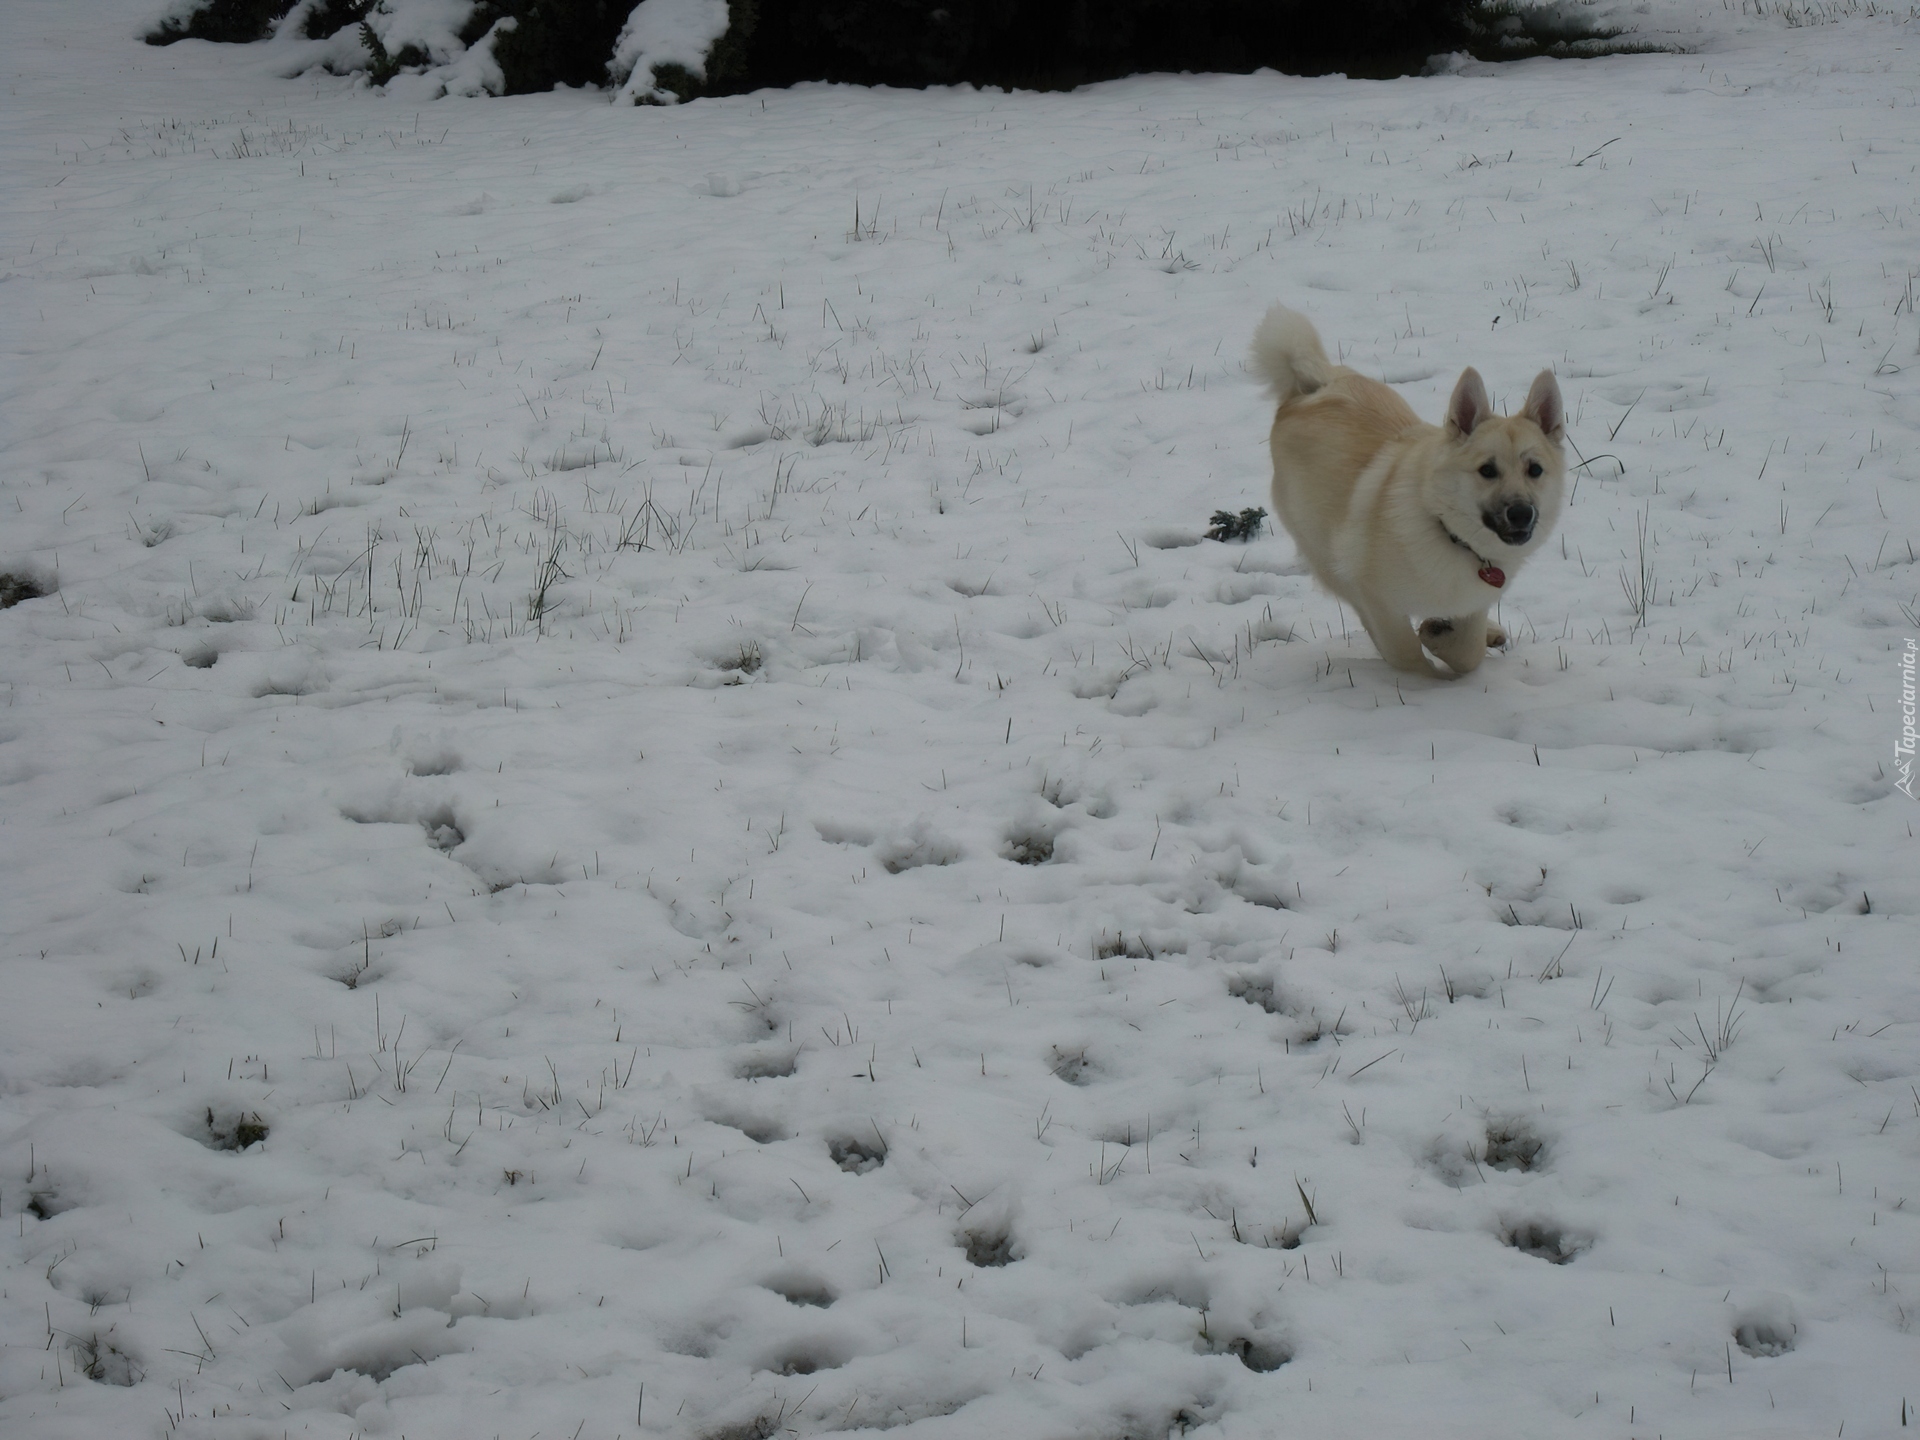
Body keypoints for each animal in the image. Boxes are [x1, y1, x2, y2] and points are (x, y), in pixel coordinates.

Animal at [1251, 305, 1566, 675]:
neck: (1449, 534)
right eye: (1487, 470)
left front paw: (1442, 634)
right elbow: (1407, 655)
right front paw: (1425, 668)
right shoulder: (1376, 598)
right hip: (1323, 550)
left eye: (1535, 470)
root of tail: (1311, 388)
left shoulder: (1474, 600)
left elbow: (1469, 651)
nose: (1521, 513)